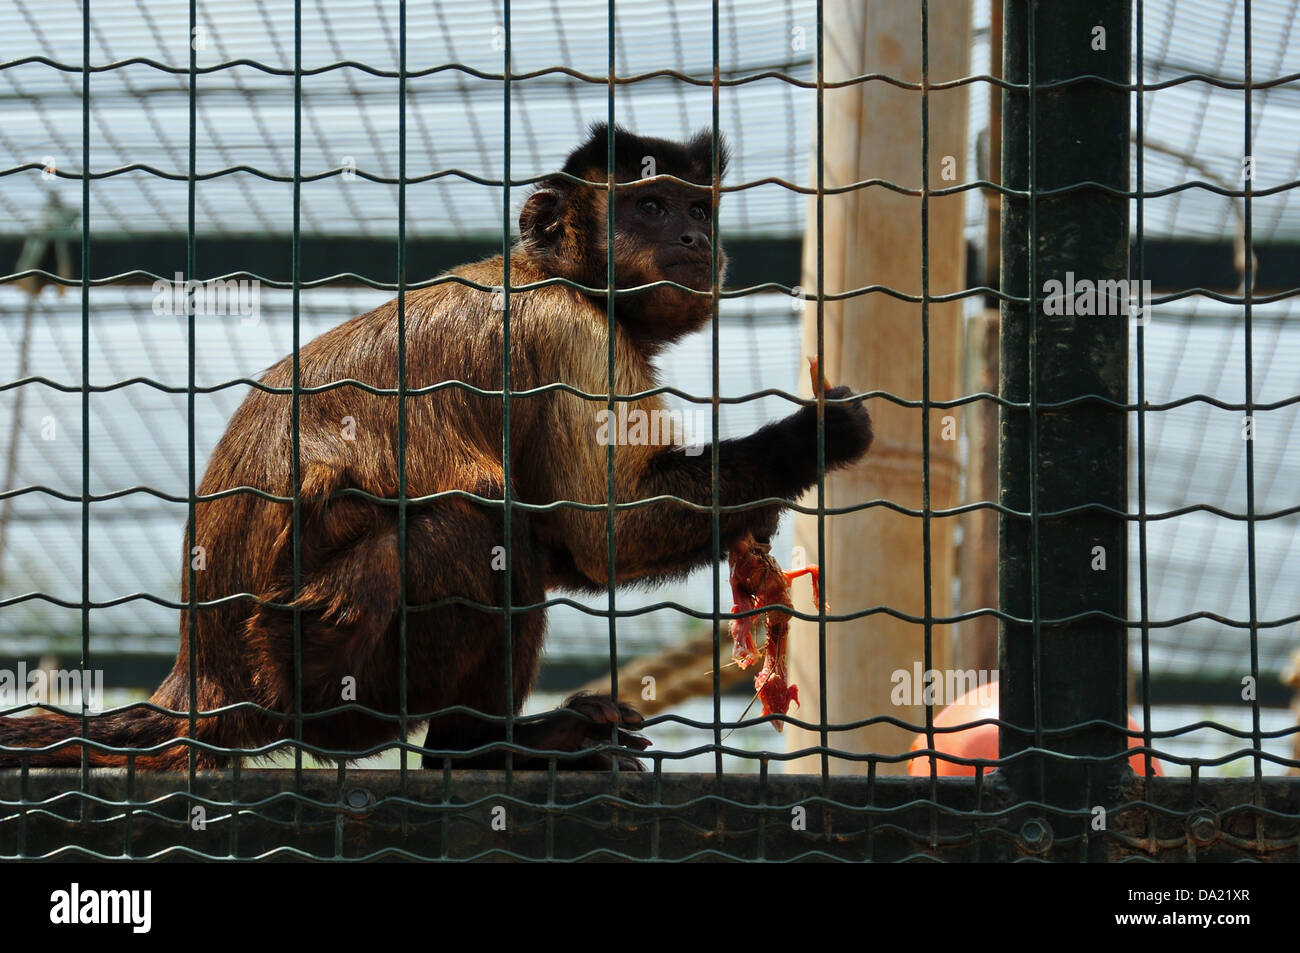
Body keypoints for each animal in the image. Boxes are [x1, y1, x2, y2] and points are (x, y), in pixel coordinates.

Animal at [2, 122, 873, 769]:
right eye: (651, 206)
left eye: (698, 207)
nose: (694, 233)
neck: (555, 274)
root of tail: (203, 681)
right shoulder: (569, 332)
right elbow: (605, 533)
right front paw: (815, 438)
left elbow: (574, 539)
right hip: (311, 669)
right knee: (481, 525)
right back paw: (483, 748)